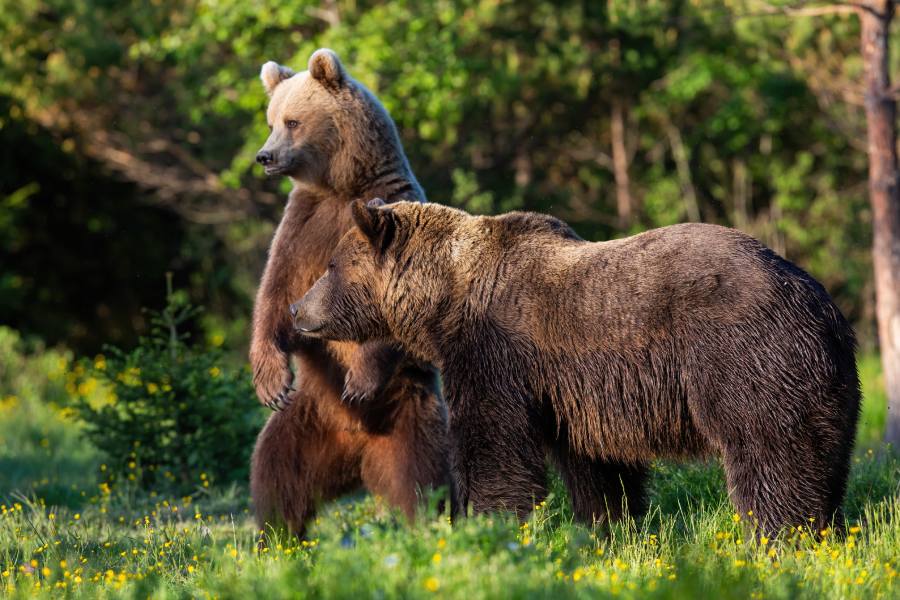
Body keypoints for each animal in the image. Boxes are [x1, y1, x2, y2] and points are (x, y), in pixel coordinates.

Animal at [248, 49, 450, 536]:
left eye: (293, 121)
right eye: (271, 119)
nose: (264, 156)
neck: (341, 187)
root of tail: (356, 454)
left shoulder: (387, 214)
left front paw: (359, 378)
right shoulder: (303, 228)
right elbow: (275, 297)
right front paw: (270, 380)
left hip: (409, 414)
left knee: (423, 480)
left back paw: (430, 527)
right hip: (303, 422)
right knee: (275, 477)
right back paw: (276, 538)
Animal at [292, 199, 860, 532]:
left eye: (331, 266)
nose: (298, 310)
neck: (445, 300)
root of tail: (818, 300)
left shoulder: (495, 351)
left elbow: (492, 444)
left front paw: (488, 524)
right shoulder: (574, 389)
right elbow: (595, 464)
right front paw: (609, 527)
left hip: (745, 358)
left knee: (768, 453)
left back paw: (778, 533)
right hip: (823, 382)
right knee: (821, 455)